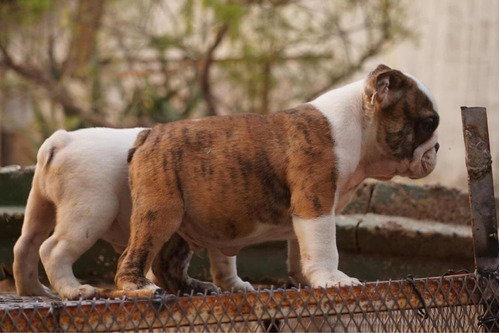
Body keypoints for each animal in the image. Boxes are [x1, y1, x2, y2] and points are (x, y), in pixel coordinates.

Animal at [115, 64, 440, 290]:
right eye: (429, 123)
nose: (436, 147)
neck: (359, 128)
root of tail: (149, 135)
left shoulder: (308, 212)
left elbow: (302, 250)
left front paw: (309, 279)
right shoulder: (316, 202)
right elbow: (326, 246)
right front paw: (333, 279)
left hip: (182, 220)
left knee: (167, 266)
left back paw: (194, 288)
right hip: (161, 209)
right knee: (134, 254)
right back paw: (138, 286)